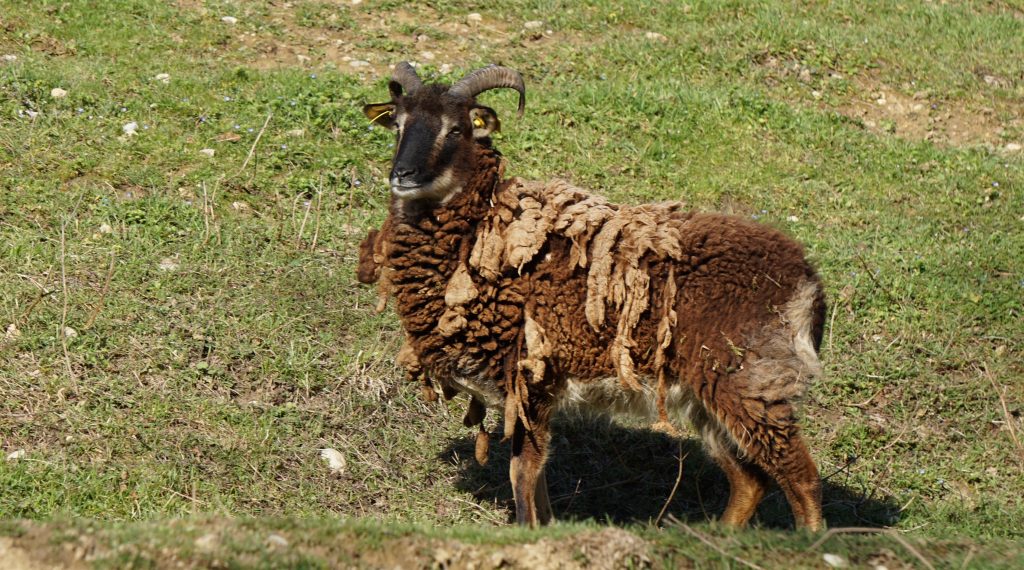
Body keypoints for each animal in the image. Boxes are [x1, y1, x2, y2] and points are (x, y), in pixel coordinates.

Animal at [356, 62, 827, 528]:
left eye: (456, 129)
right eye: (398, 124)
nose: (403, 176)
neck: (483, 237)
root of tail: (807, 280)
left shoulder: (530, 378)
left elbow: (522, 472)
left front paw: (527, 530)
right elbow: (535, 478)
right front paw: (545, 526)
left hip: (752, 382)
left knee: (800, 475)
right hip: (706, 395)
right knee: (749, 481)